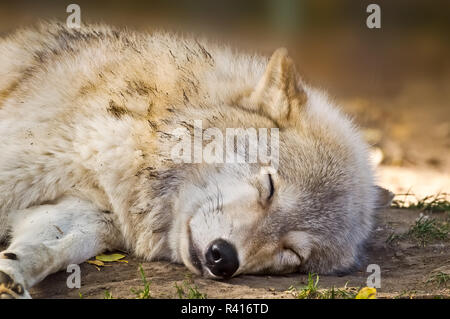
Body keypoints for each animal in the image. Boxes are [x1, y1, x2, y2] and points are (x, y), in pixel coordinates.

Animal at [0, 22, 392, 300]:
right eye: (269, 187)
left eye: (293, 254)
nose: (224, 258)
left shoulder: (86, 213)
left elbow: (43, 250)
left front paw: (11, 276)